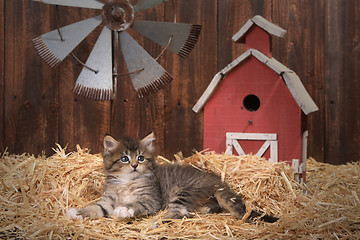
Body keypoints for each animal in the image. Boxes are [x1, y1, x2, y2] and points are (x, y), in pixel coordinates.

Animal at [66, 132, 278, 222]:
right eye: (125, 159)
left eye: (141, 158)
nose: (134, 166)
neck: (127, 182)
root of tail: (217, 180)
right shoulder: (107, 201)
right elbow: (95, 208)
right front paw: (77, 212)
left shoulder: (151, 200)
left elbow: (134, 204)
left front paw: (124, 209)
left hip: (182, 191)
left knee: (180, 213)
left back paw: (158, 222)